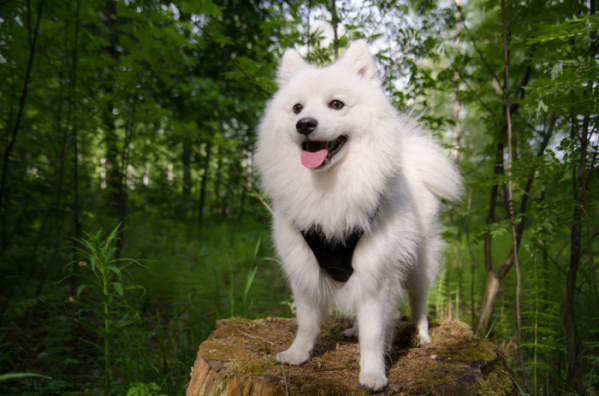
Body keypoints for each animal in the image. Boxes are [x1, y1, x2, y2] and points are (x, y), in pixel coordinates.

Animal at [255, 41, 462, 392]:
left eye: (336, 104)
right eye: (296, 108)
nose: (305, 123)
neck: (330, 187)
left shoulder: (377, 274)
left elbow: (375, 332)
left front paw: (372, 374)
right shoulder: (303, 267)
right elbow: (306, 322)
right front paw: (298, 354)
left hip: (419, 264)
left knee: (418, 300)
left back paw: (421, 334)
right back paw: (352, 330)